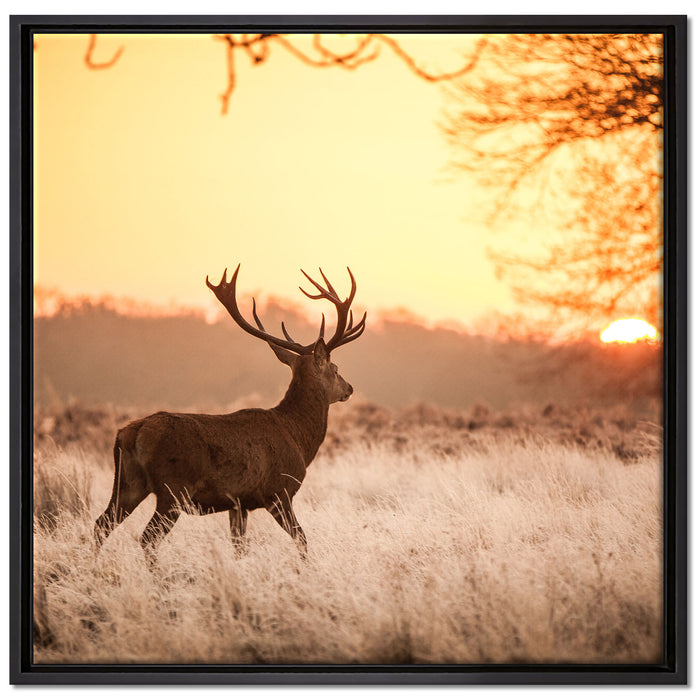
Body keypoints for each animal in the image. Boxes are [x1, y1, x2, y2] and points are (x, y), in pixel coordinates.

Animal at [94, 265, 365, 565]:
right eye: (335, 368)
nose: (349, 388)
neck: (297, 436)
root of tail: (132, 433)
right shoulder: (278, 491)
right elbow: (302, 539)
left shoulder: (238, 502)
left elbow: (239, 547)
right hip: (173, 489)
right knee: (147, 537)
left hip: (127, 483)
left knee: (101, 524)